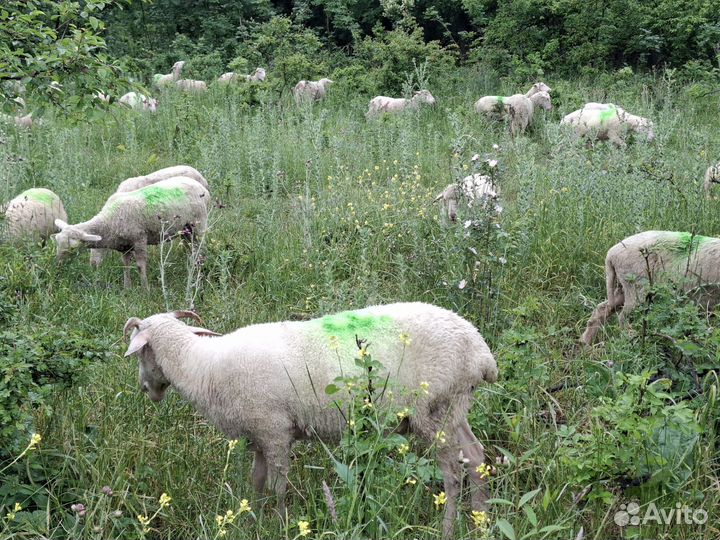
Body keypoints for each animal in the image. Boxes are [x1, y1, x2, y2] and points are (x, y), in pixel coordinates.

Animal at [54, 177, 209, 289]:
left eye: (73, 247)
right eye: (57, 242)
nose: (58, 265)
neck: (108, 220)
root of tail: (200, 186)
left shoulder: (139, 239)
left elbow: (140, 266)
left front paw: (145, 290)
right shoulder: (125, 245)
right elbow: (125, 265)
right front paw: (127, 288)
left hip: (199, 224)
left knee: (200, 249)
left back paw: (199, 273)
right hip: (185, 229)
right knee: (191, 248)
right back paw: (191, 266)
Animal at [123, 302, 497, 539]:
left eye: (141, 351)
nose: (145, 390)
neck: (203, 365)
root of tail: (480, 351)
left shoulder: (274, 431)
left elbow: (277, 486)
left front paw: (280, 525)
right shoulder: (259, 434)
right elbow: (256, 482)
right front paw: (252, 521)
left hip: (434, 410)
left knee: (452, 471)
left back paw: (447, 529)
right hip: (455, 406)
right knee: (476, 457)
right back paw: (481, 523)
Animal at [581, 231, 720, 345]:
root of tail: (611, 254)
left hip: (624, 286)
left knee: (602, 308)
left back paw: (585, 342)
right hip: (636, 285)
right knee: (623, 316)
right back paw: (631, 339)